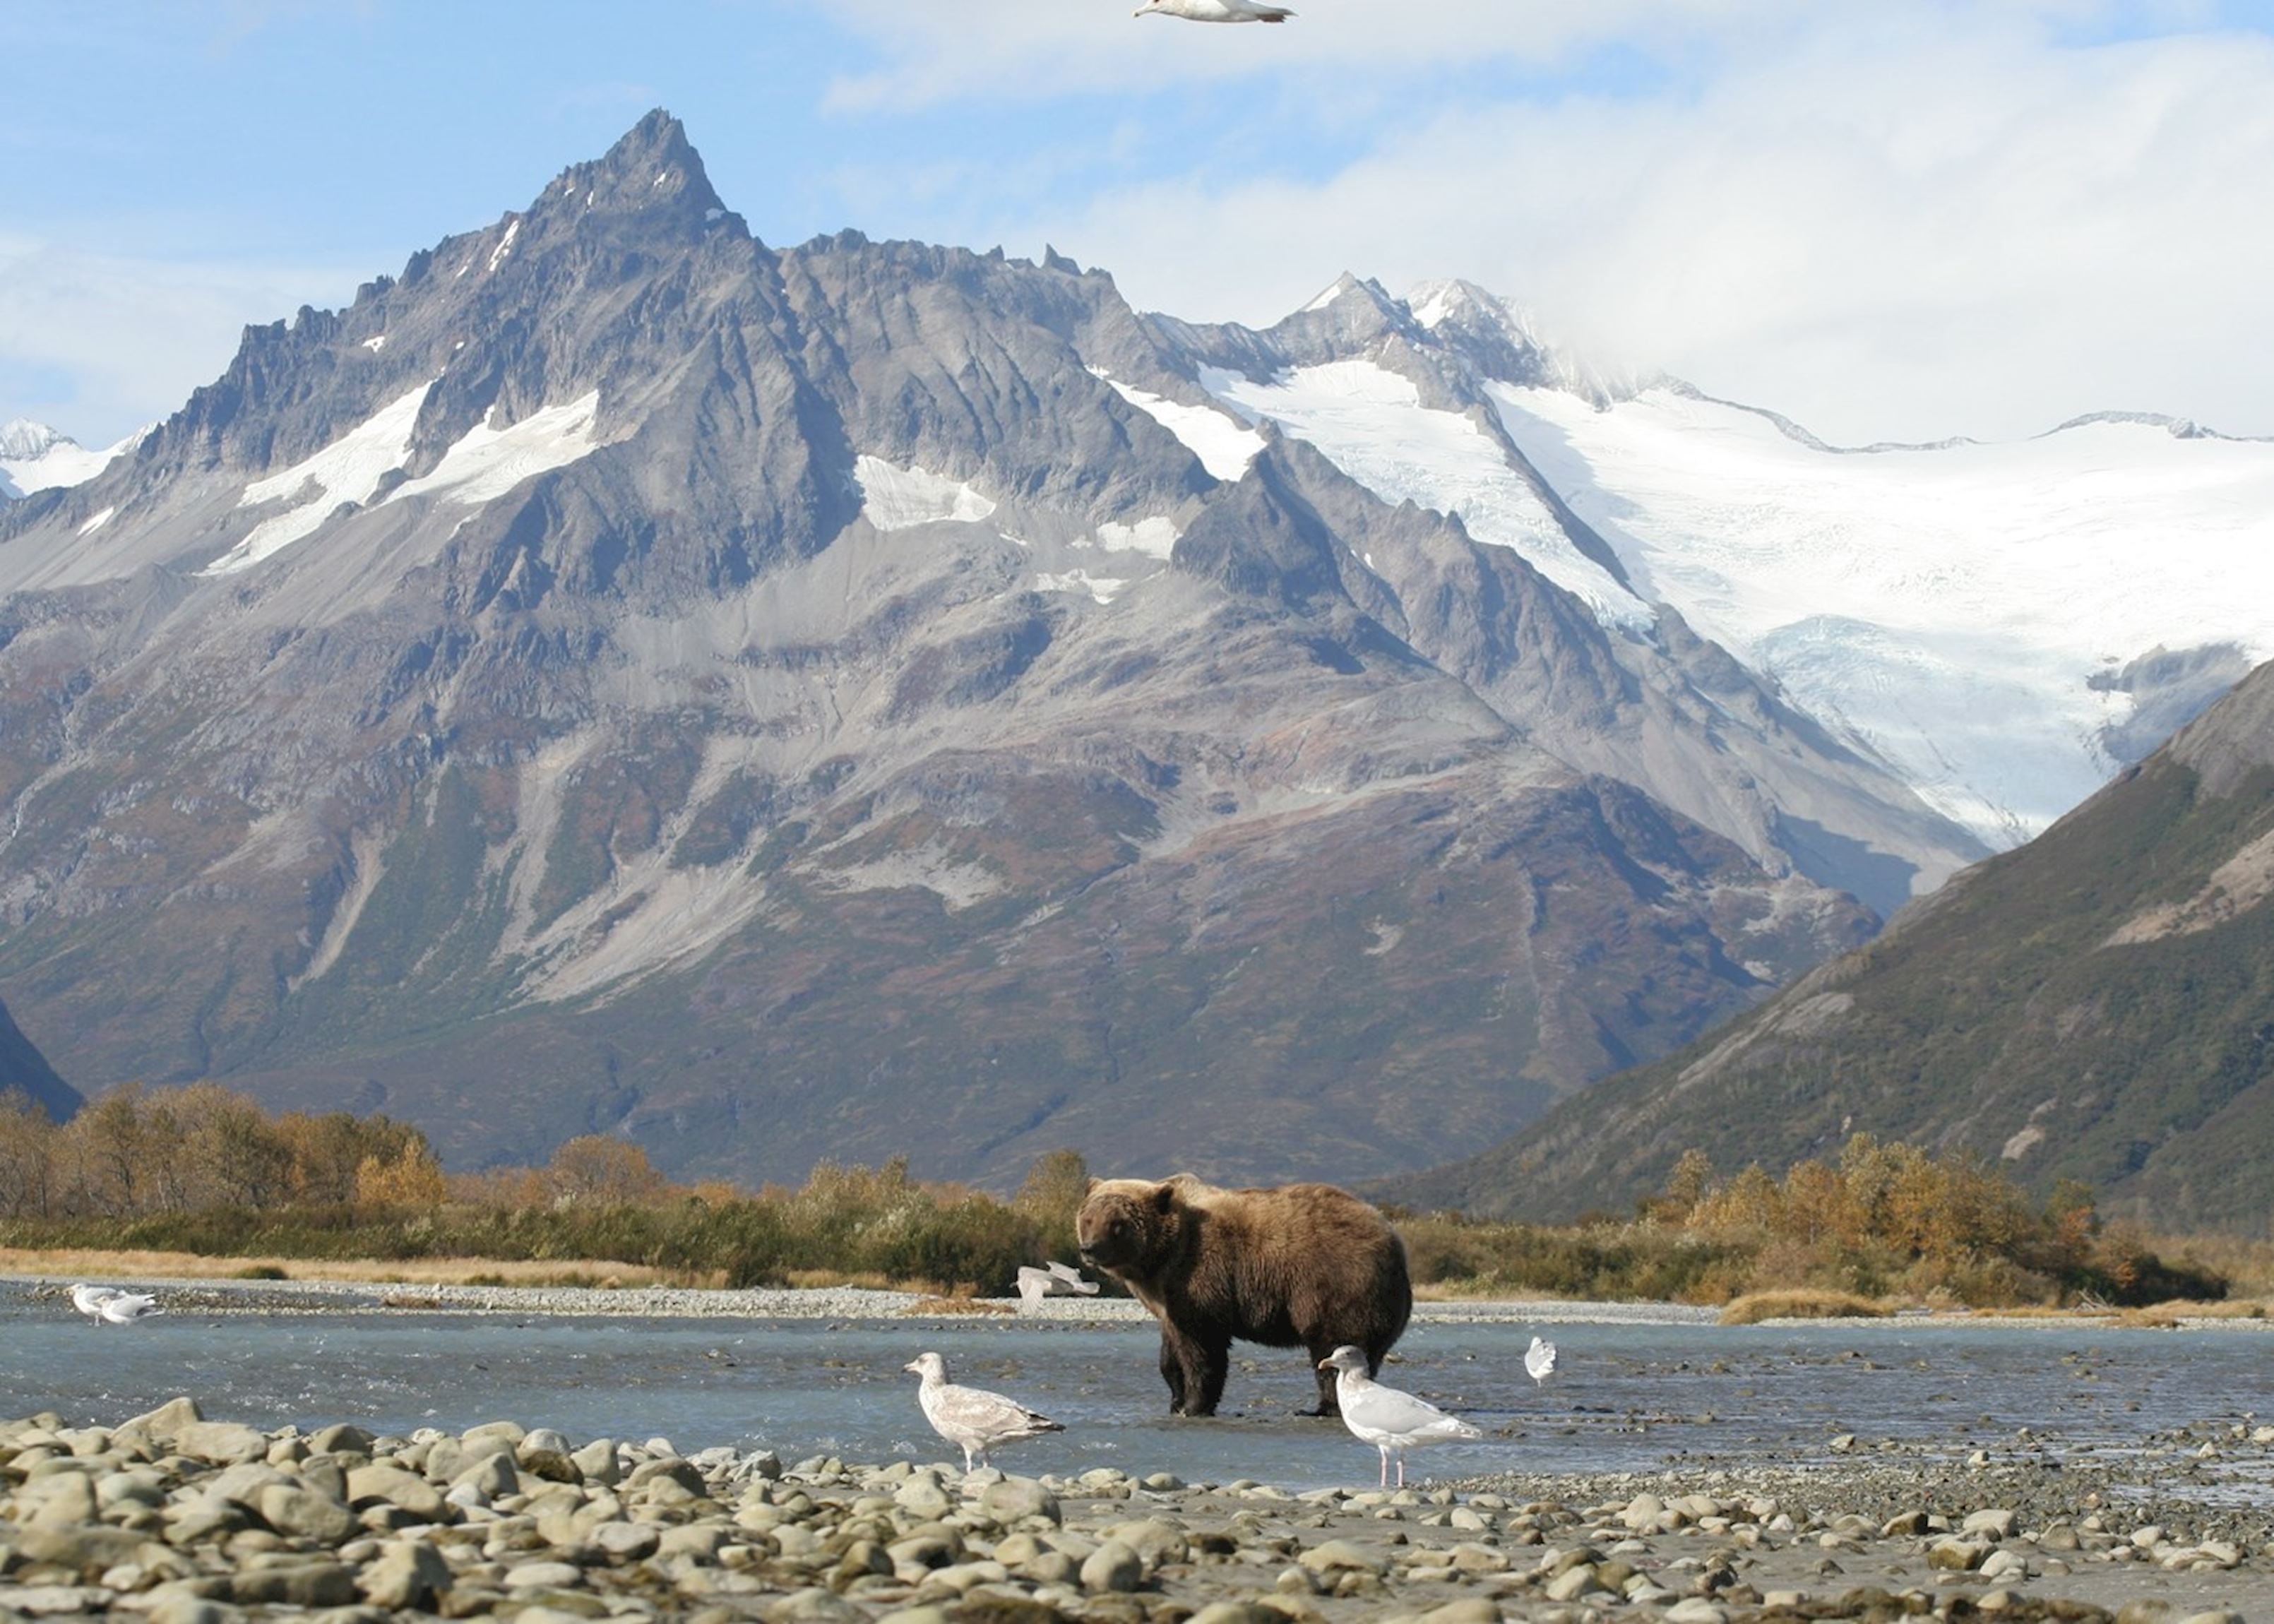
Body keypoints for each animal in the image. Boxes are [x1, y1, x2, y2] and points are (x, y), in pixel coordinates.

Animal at [1078, 1174, 1400, 1410]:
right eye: (1089, 1219)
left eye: (1117, 1224)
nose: (1089, 1249)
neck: (1159, 1259)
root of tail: (1390, 1233)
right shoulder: (1167, 1297)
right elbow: (1171, 1350)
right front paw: (1176, 1400)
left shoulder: (1201, 1276)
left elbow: (1202, 1346)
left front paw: (1194, 1404)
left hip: (1334, 1284)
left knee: (1332, 1347)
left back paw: (1324, 1407)